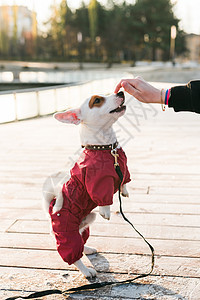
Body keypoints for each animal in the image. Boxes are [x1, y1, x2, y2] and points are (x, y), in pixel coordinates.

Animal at [42, 90, 130, 278]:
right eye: (97, 101)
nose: (120, 92)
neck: (106, 148)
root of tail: (51, 206)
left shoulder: (124, 167)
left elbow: (125, 180)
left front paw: (124, 191)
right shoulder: (96, 183)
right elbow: (103, 198)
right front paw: (106, 211)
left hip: (87, 221)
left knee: (81, 241)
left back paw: (87, 249)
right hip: (66, 232)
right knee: (73, 255)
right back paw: (86, 271)